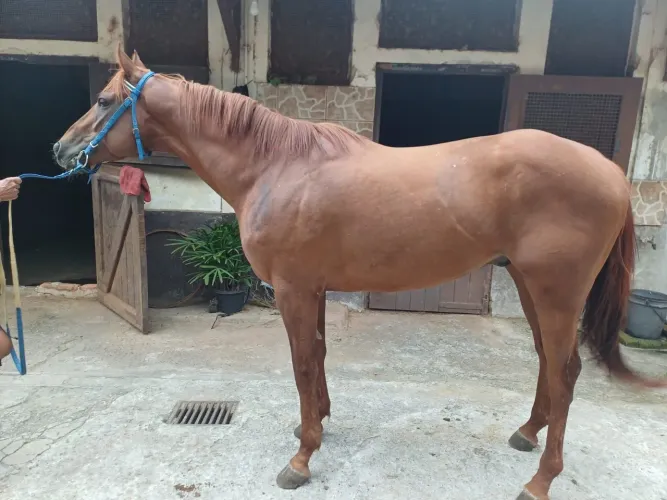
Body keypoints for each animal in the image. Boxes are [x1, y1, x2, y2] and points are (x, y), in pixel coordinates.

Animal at [53, 46, 665, 500]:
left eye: (104, 99)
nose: (61, 149)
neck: (275, 167)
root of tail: (610, 172)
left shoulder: (294, 290)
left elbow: (302, 365)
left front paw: (301, 458)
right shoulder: (314, 289)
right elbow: (319, 358)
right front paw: (317, 424)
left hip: (557, 292)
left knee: (565, 374)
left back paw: (539, 481)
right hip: (530, 284)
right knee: (549, 365)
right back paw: (526, 434)